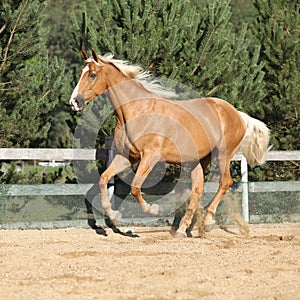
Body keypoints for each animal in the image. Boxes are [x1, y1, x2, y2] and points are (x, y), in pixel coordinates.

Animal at [69, 48, 270, 238]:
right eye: (81, 72)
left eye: (92, 74)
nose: (74, 102)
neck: (137, 111)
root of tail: (238, 114)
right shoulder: (127, 157)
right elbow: (103, 179)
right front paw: (114, 216)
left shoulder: (150, 157)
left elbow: (135, 187)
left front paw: (154, 210)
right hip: (198, 160)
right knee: (198, 189)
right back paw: (183, 229)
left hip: (223, 155)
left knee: (224, 183)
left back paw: (208, 222)